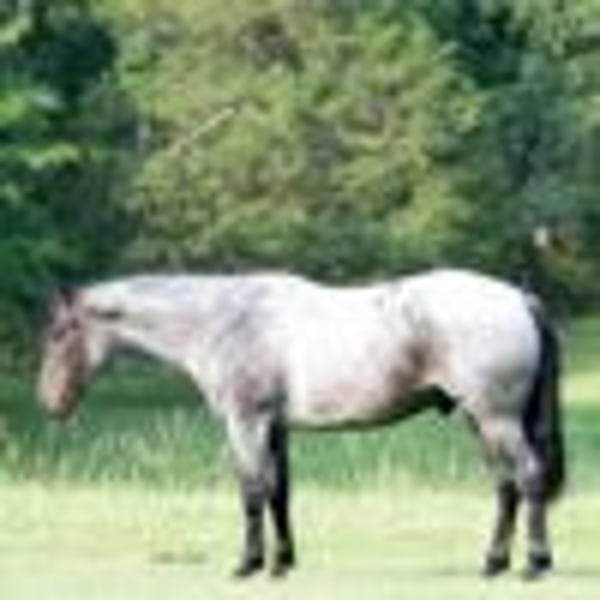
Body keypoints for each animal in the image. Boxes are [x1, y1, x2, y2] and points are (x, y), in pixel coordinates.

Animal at [37, 268, 565, 579]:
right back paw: (494, 563)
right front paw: (283, 562)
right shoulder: (275, 428)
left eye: (60, 332)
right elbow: (280, 493)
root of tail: (519, 298)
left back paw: (534, 565)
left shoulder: (246, 422)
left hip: (496, 420)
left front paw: (250, 564)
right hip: (483, 422)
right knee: (506, 488)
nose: (49, 403)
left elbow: (252, 491)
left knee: (528, 478)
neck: (225, 320)